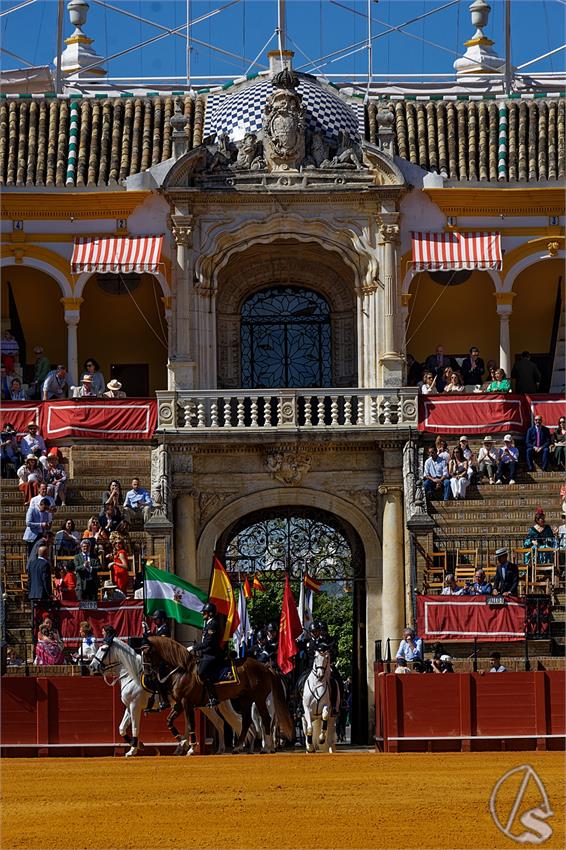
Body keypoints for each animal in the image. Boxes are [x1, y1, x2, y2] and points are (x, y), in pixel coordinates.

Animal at [144, 636, 296, 748]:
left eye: (147, 653)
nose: (146, 673)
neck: (182, 670)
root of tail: (265, 667)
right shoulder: (180, 704)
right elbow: (169, 721)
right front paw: (182, 741)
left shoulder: (187, 702)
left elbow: (191, 723)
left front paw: (191, 746)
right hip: (245, 699)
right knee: (247, 721)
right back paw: (238, 747)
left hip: (259, 698)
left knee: (266, 719)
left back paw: (266, 747)